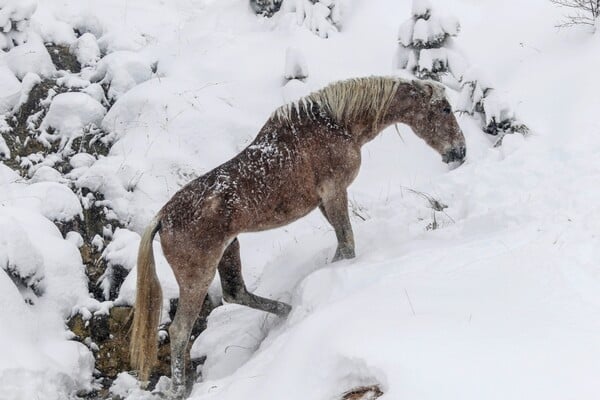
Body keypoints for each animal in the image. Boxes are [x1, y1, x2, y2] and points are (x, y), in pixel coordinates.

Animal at [130, 76, 468, 396]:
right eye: (444, 109)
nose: (460, 151)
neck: (339, 124)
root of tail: (162, 218)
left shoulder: (324, 203)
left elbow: (342, 245)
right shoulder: (334, 193)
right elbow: (347, 244)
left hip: (229, 250)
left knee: (236, 292)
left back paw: (286, 311)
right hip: (198, 276)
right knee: (180, 330)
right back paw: (178, 388)